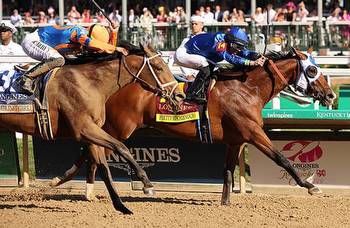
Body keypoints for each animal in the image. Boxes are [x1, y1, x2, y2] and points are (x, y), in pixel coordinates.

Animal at [0, 42, 185, 214]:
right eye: (159, 67)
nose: (179, 95)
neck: (90, 82)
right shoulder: (84, 128)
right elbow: (121, 147)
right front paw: (147, 184)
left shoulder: (92, 132)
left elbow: (103, 168)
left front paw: (121, 206)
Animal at [51, 48, 334, 205]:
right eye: (311, 70)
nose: (330, 95)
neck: (247, 89)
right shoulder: (254, 133)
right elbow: (282, 159)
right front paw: (311, 186)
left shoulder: (236, 140)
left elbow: (228, 170)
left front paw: (225, 201)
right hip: (119, 128)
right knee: (94, 151)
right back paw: (80, 186)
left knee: (90, 150)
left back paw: (67, 182)